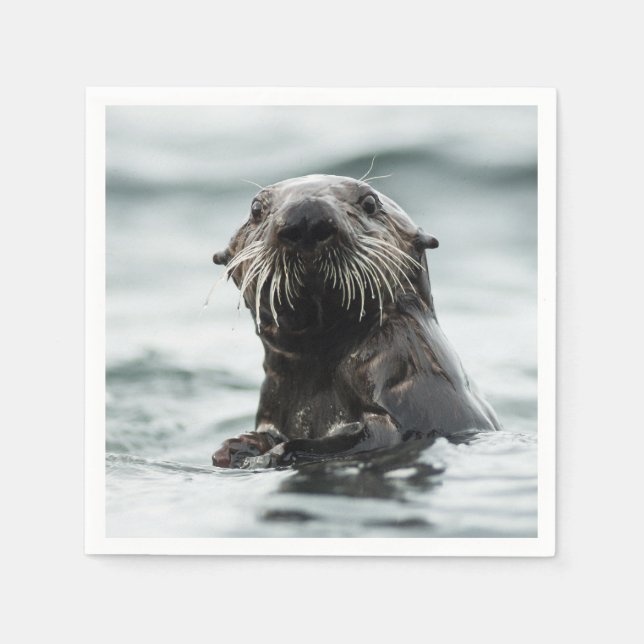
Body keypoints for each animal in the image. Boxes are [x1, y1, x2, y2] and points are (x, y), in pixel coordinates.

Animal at [211, 174, 500, 468]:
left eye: (370, 203)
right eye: (256, 209)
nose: (306, 217)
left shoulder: (407, 382)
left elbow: (371, 436)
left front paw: (271, 453)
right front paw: (237, 447)